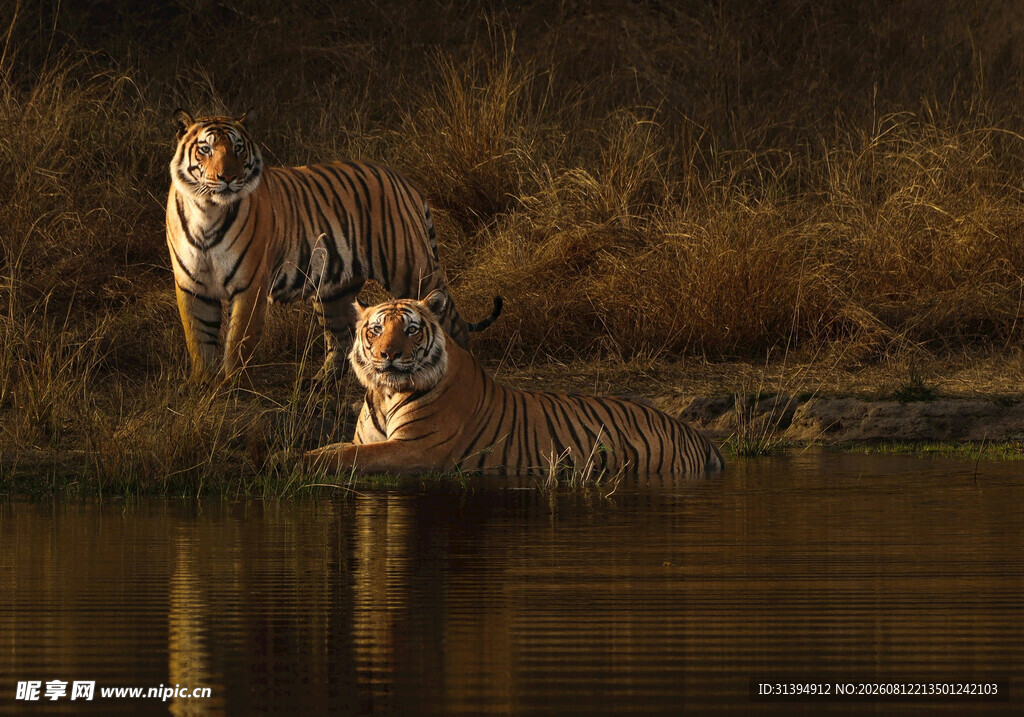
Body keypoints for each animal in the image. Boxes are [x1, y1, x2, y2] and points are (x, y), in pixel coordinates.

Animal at [166, 109, 501, 386]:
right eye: (206, 149)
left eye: (238, 148)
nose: (227, 177)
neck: (207, 211)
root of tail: (403, 180)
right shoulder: (191, 285)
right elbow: (198, 337)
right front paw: (201, 384)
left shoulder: (249, 286)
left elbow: (238, 340)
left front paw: (230, 385)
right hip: (334, 289)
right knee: (341, 339)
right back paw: (320, 382)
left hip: (413, 270)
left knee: (452, 324)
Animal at [303, 292, 726, 476]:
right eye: (375, 330)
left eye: (410, 329)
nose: (388, 354)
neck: (385, 392)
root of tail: (695, 433)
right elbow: (338, 448)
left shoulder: (416, 449)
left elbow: (347, 457)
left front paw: (292, 460)